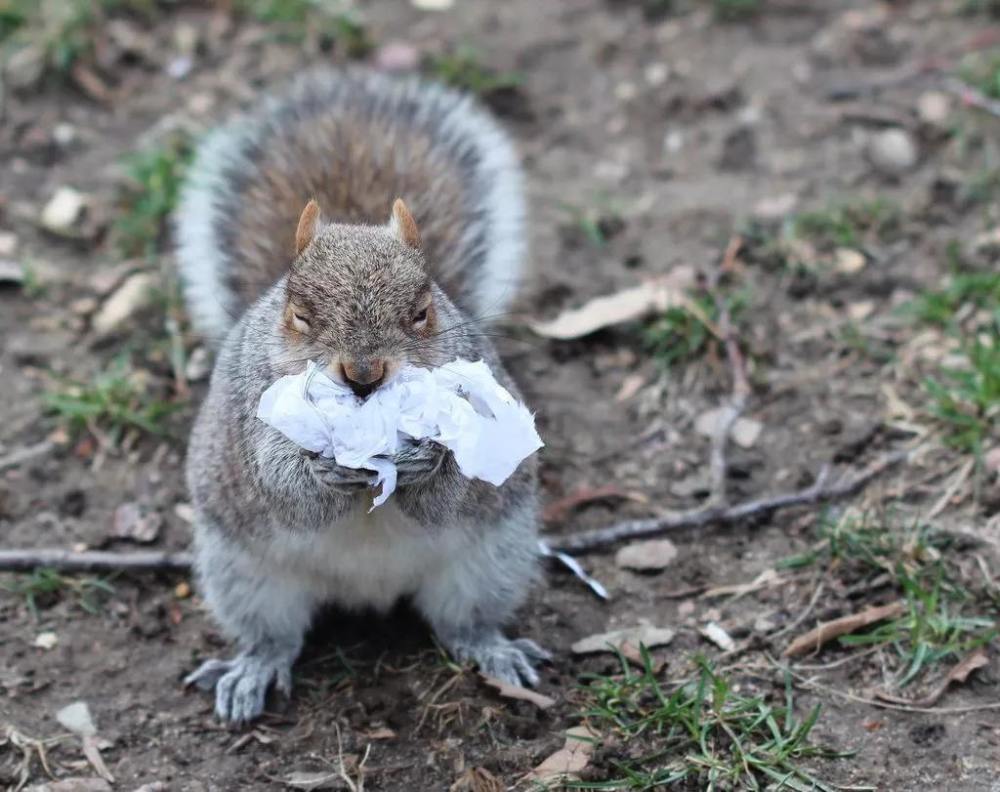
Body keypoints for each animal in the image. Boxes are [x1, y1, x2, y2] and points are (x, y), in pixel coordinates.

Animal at [172, 69, 548, 724]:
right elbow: (282, 486)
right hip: (244, 575)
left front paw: (432, 461)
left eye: (422, 310)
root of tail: (368, 592)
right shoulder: (249, 414)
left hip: (492, 559)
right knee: (274, 635)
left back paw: (493, 649)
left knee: (464, 623)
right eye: (299, 313)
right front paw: (322, 470)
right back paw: (253, 668)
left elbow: (451, 493)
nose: (364, 372)